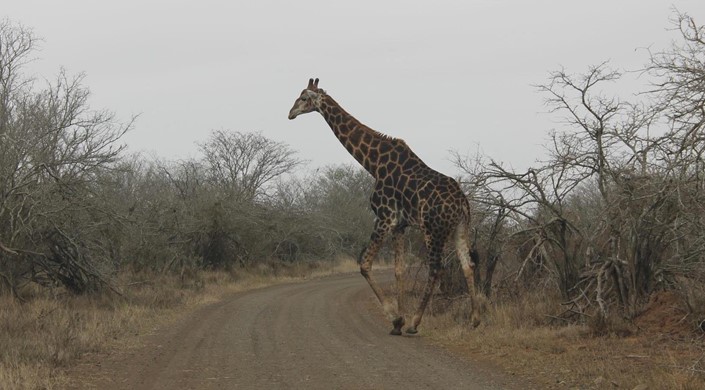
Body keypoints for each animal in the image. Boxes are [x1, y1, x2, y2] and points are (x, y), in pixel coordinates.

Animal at [286, 79, 478, 336]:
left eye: (304, 98)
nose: (290, 113)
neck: (373, 164)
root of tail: (462, 204)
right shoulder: (400, 225)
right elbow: (398, 270)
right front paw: (399, 320)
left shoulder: (384, 217)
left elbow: (365, 264)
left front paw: (397, 319)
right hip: (459, 228)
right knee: (468, 264)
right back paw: (475, 319)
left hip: (433, 230)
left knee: (437, 268)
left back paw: (415, 323)